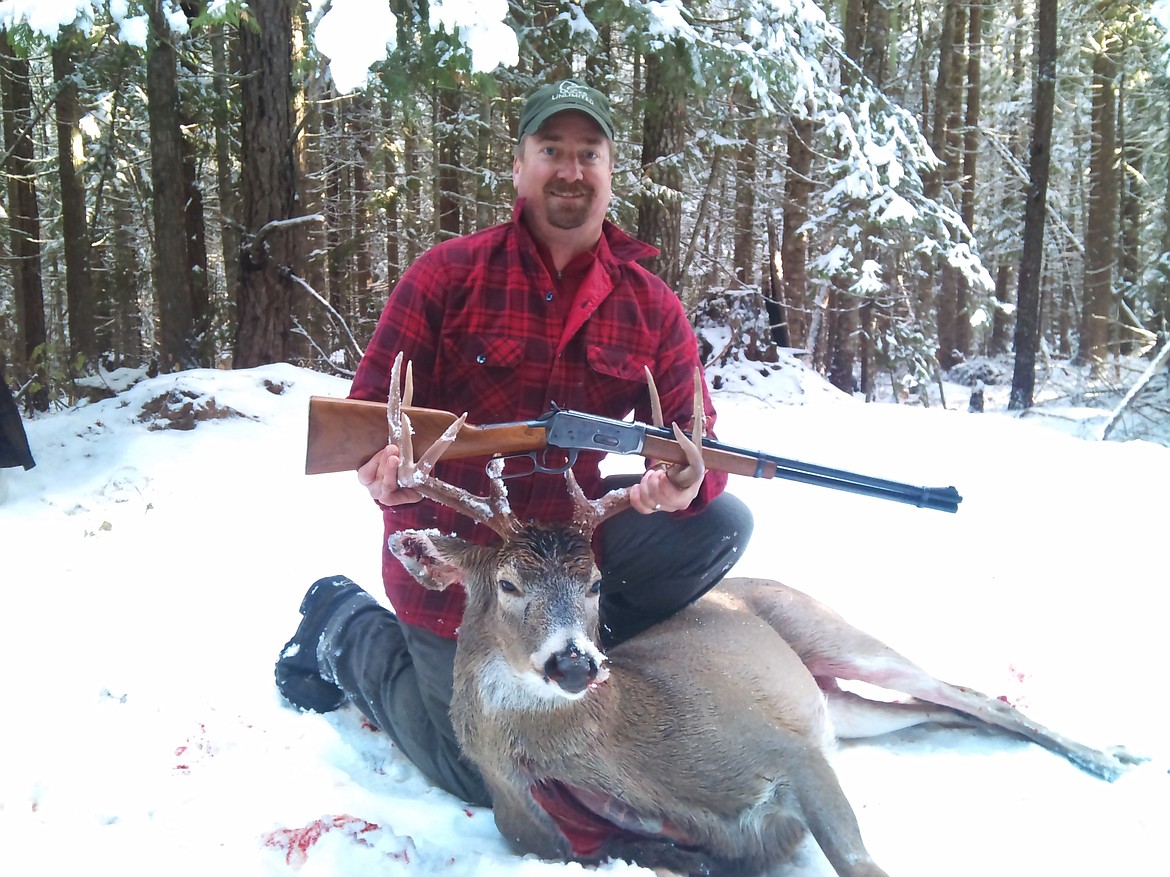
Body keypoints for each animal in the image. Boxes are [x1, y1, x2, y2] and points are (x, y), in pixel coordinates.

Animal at [379, 357, 1137, 877]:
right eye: (507, 583)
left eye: (596, 584)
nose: (575, 662)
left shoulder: (786, 751)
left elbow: (862, 862)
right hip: (838, 705)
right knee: (937, 709)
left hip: (825, 626)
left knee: (961, 689)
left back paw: (1112, 756)